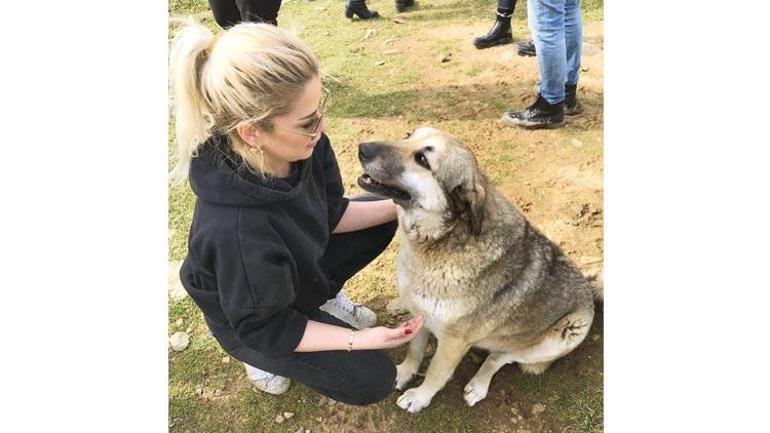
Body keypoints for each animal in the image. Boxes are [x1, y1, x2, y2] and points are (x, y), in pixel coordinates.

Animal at [356, 127, 596, 412]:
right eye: (408, 135)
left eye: (423, 160)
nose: (362, 148)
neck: (444, 239)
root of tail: (591, 292)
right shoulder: (421, 317)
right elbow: (415, 350)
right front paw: (404, 372)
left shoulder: (453, 342)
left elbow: (436, 372)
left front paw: (420, 397)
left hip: (562, 336)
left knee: (499, 357)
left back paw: (479, 385)